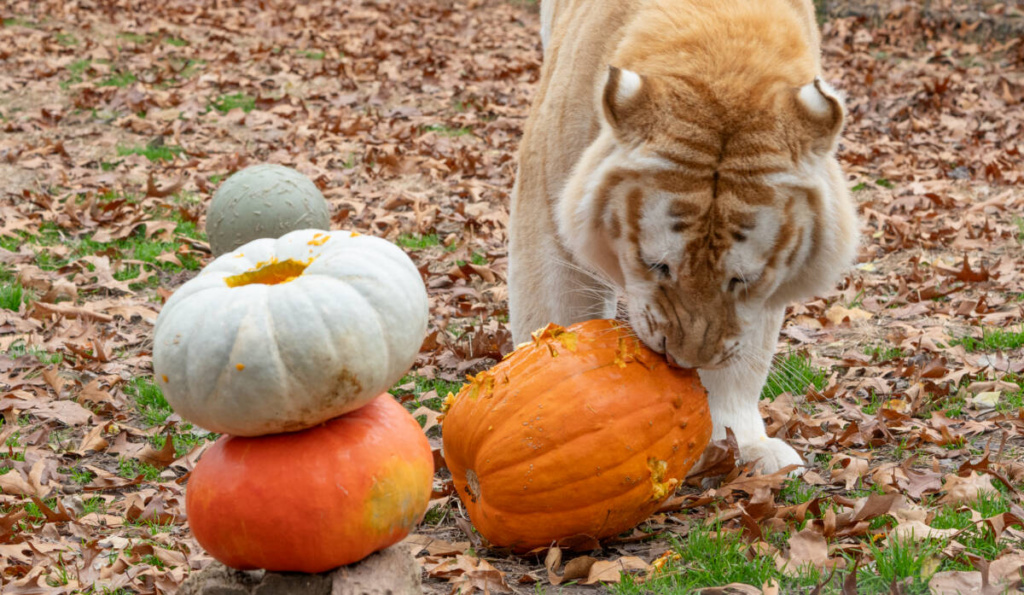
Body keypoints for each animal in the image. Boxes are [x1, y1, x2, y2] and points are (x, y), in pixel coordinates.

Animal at [507, 0, 859, 474]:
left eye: (742, 280)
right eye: (657, 264)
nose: (683, 359)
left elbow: (745, 359)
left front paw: (742, 442)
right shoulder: (546, 201)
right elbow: (554, 318)